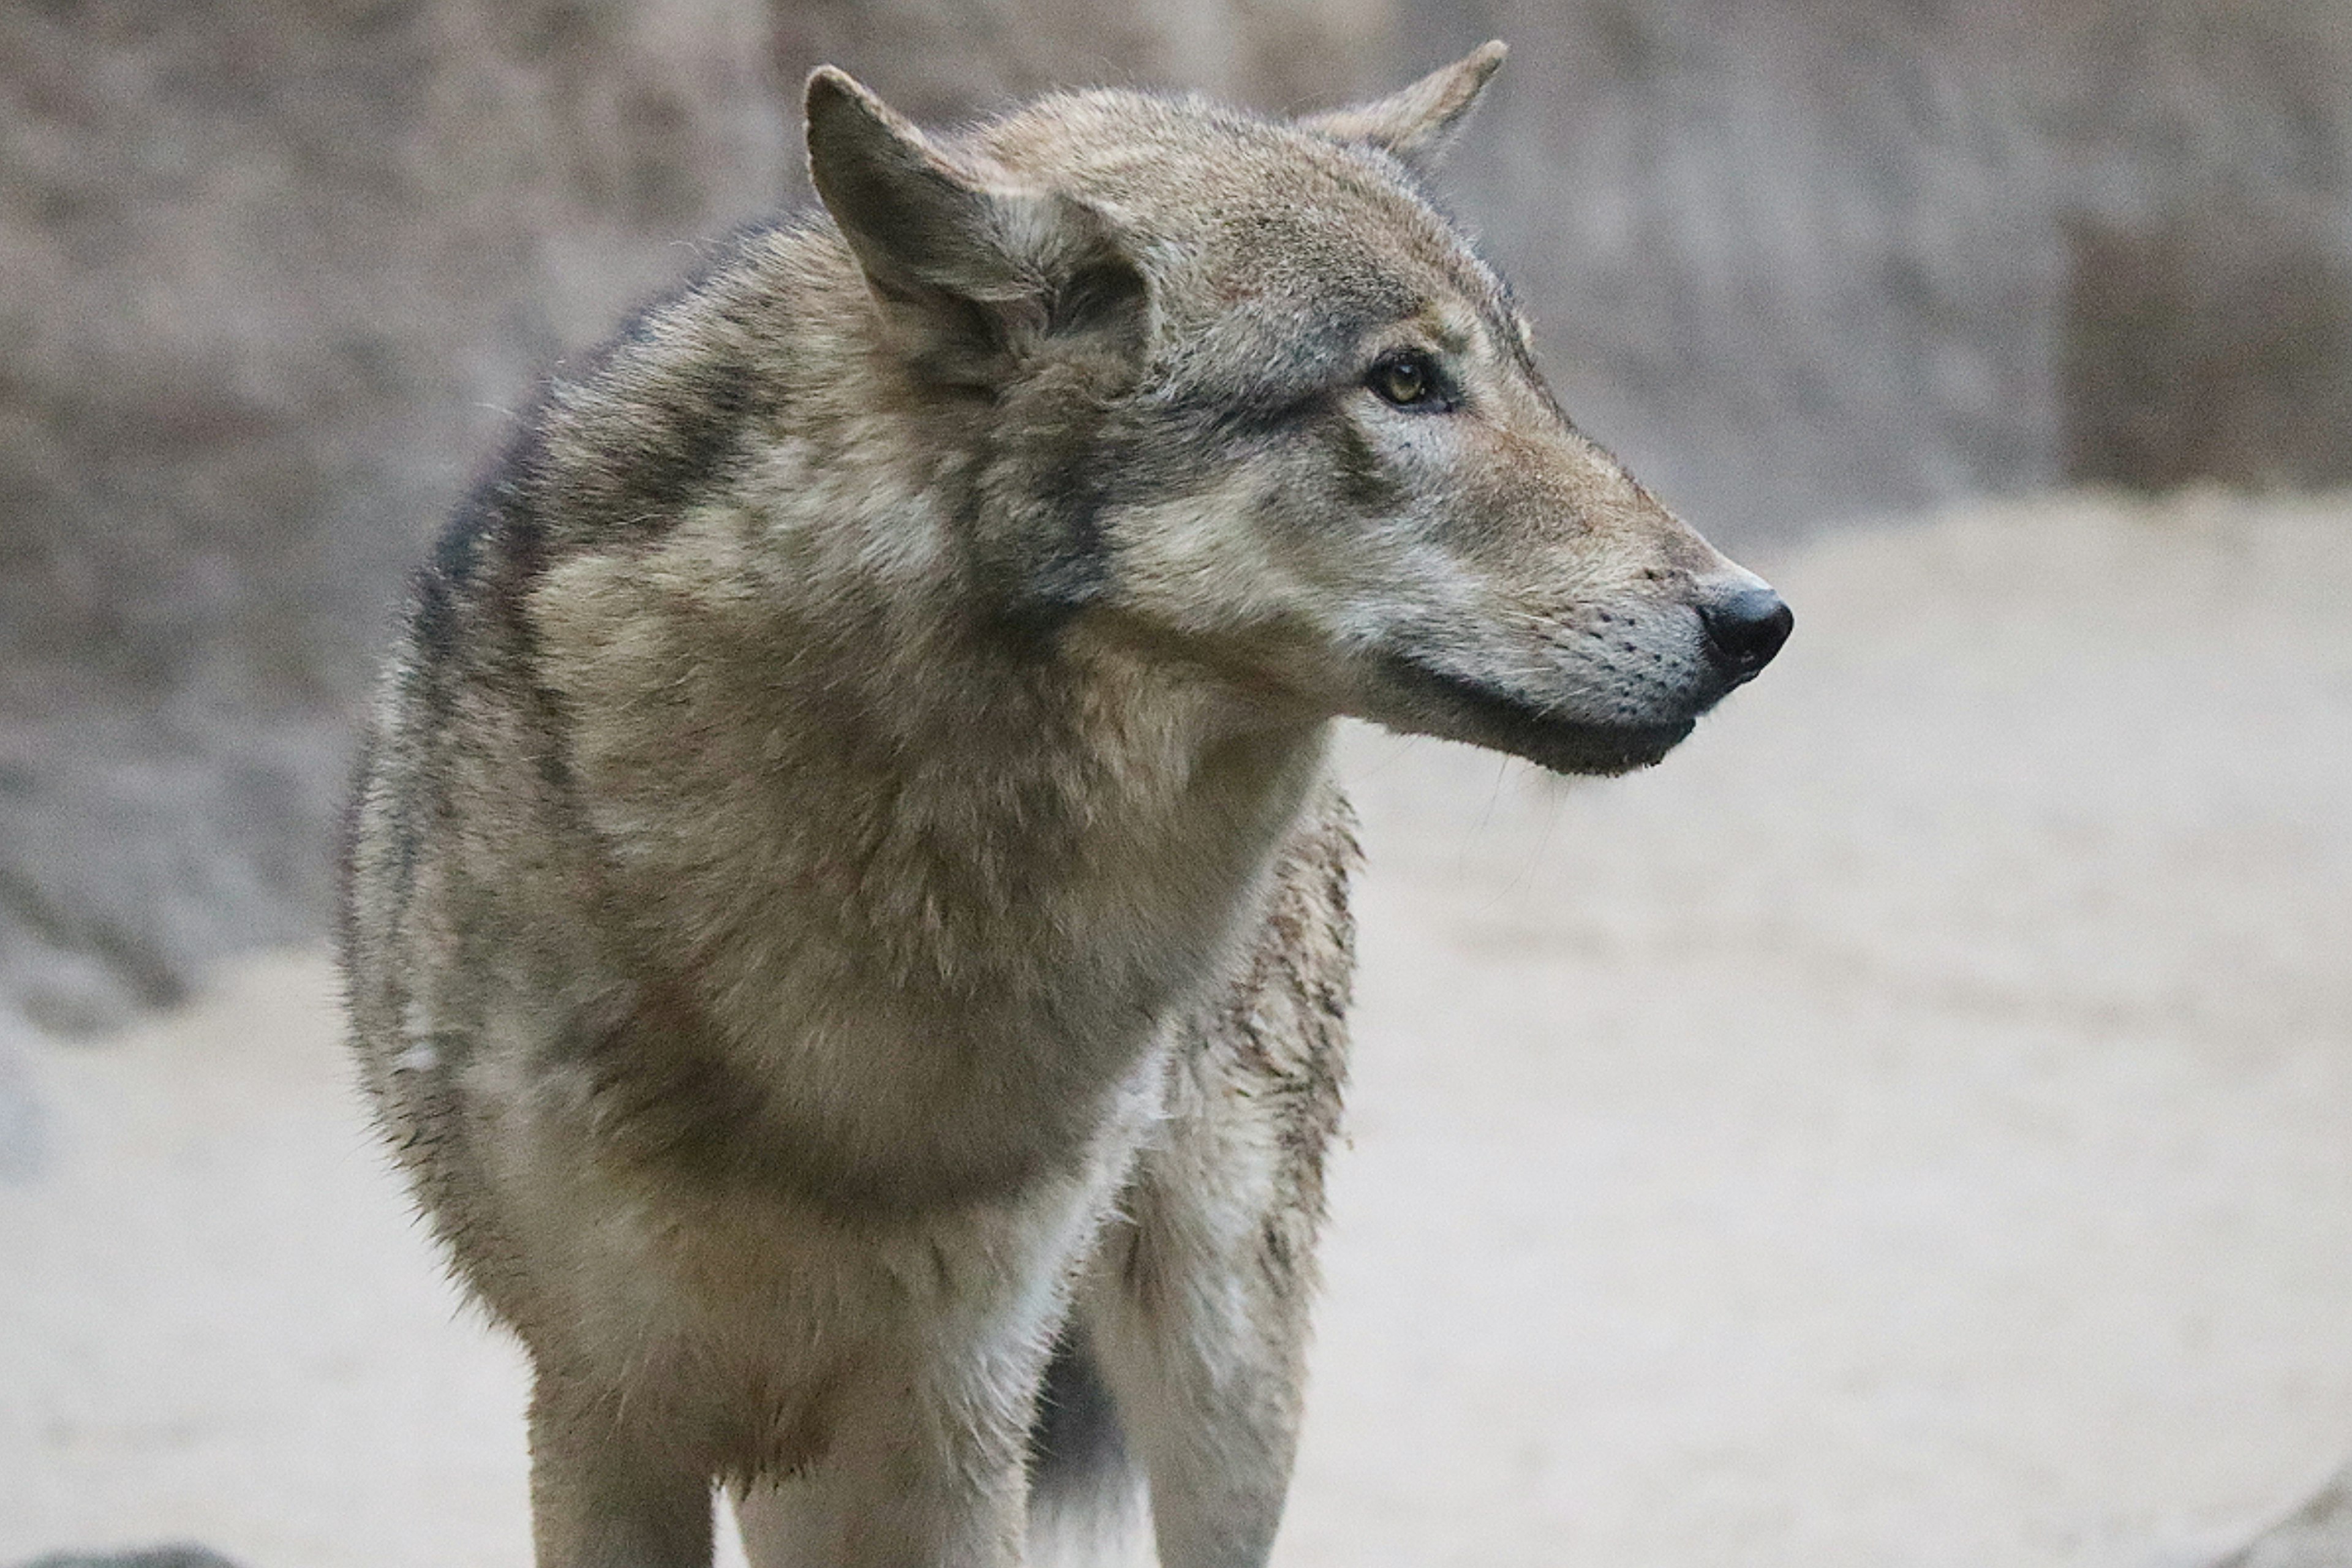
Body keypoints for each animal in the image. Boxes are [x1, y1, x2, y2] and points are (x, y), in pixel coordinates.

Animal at [341, 40, 1787, 1568]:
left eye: (1526, 374)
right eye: (1405, 382)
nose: (1758, 619)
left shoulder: (958, 1404)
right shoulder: (604, 1403)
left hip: (1221, 1358)